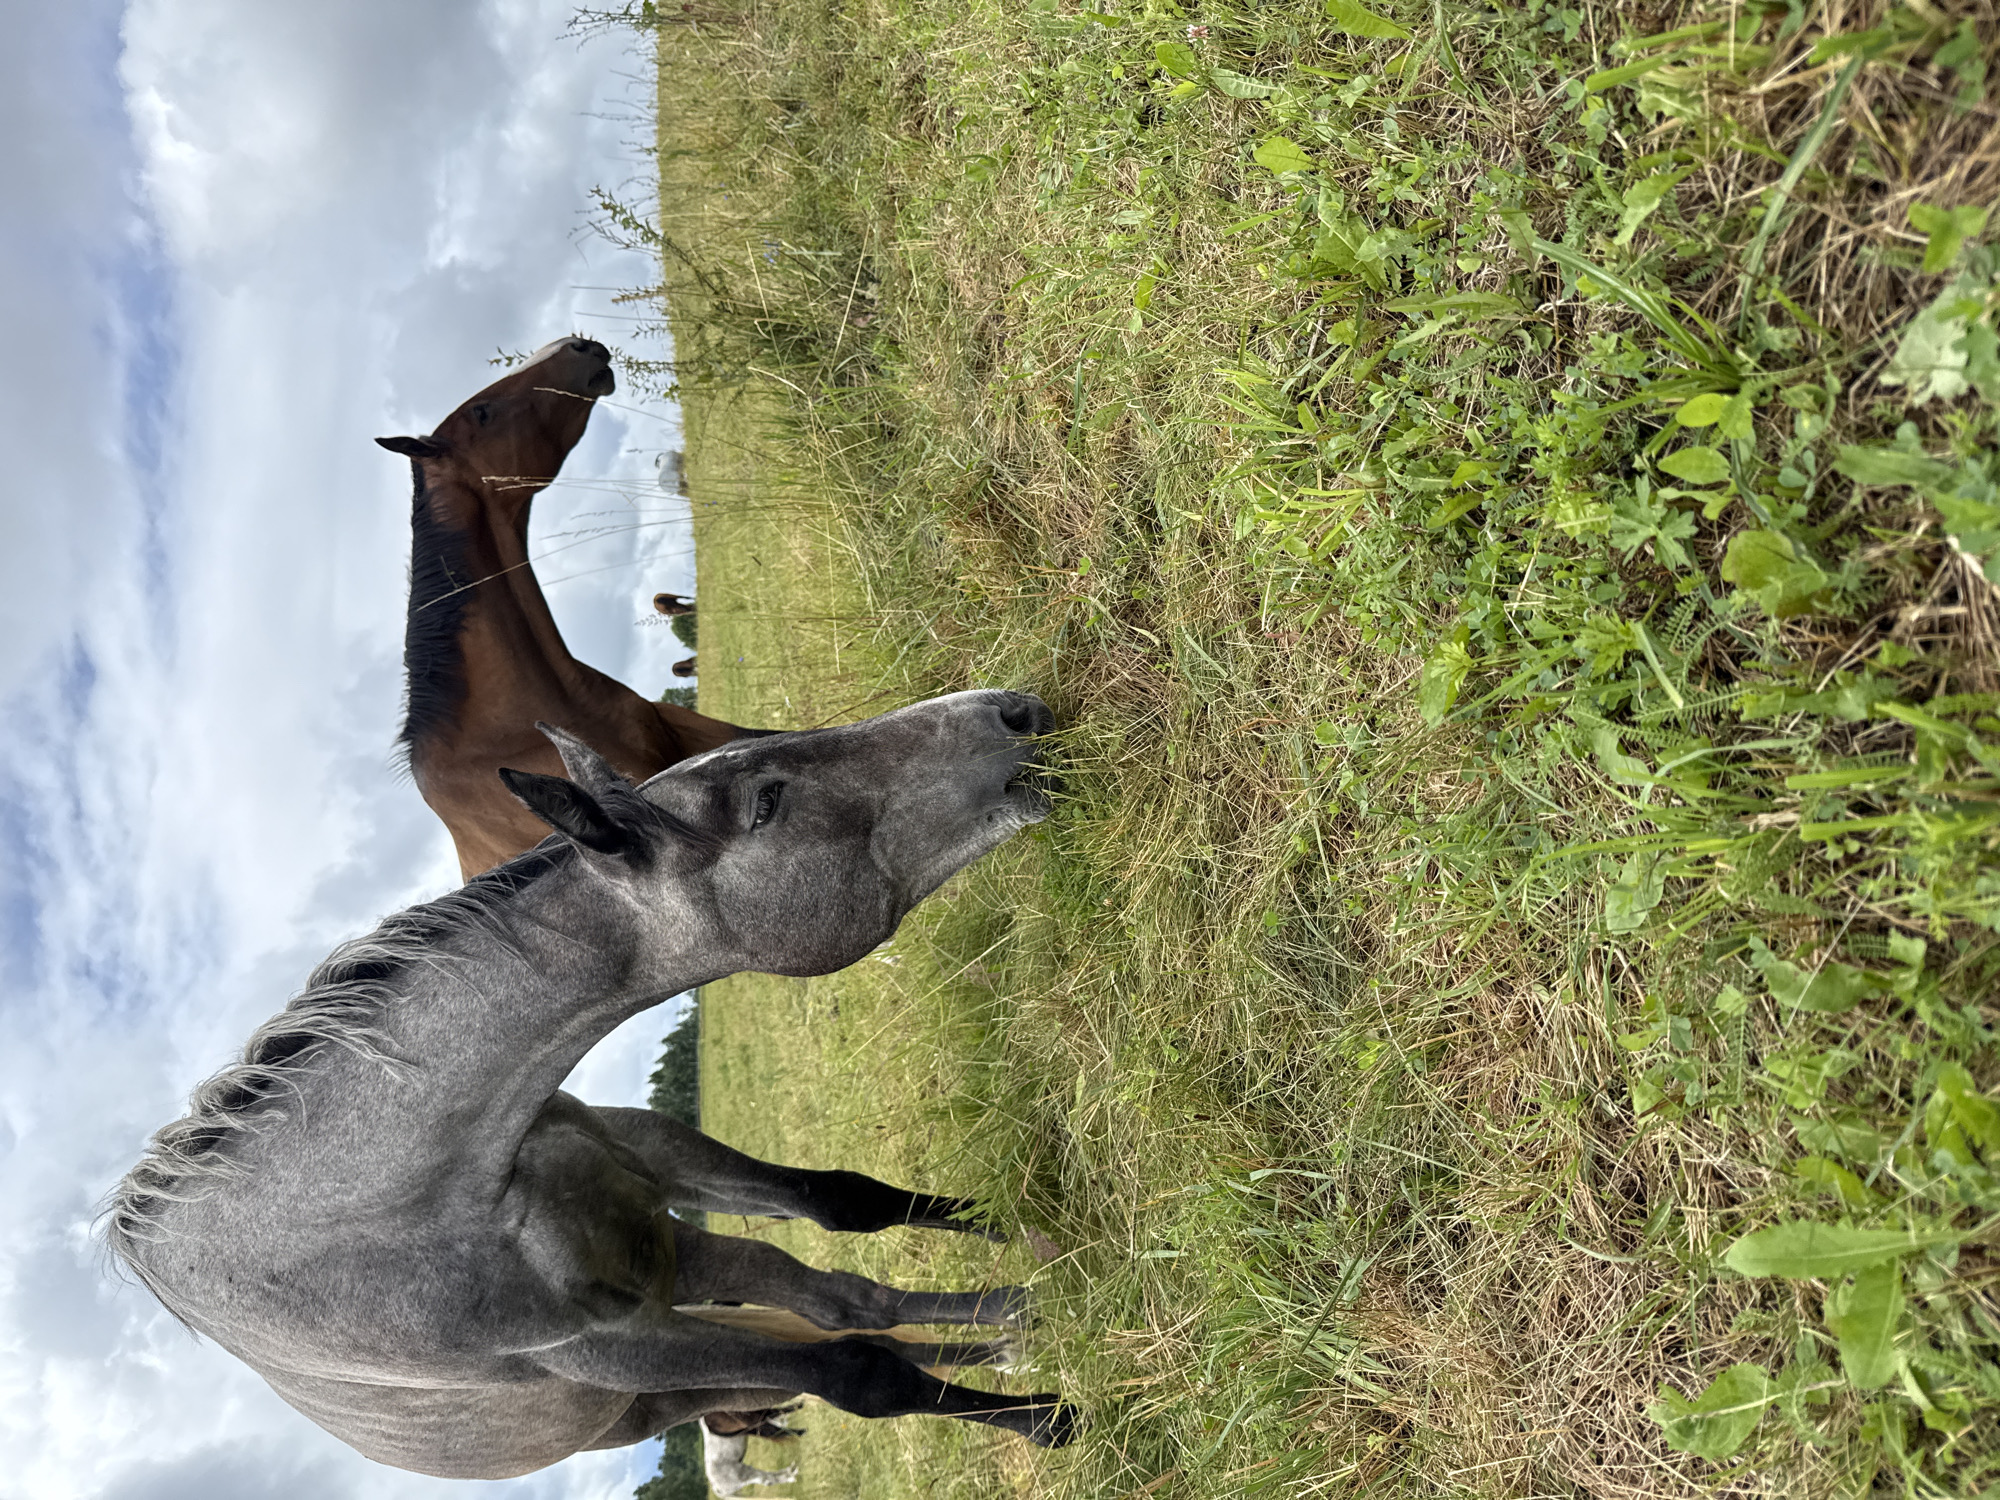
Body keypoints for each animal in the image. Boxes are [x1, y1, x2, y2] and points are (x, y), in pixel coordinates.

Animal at [107, 690, 1075, 1480]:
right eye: (767, 802)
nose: (1013, 710)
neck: (389, 1213)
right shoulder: (605, 1350)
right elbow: (864, 1376)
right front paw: (1052, 1423)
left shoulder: (651, 1157)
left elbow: (849, 1201)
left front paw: (1038, 1244)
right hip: (665, 1376)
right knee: (843, 1330)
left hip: (672, 1251)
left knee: (843, 1300)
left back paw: (1016, 1323)